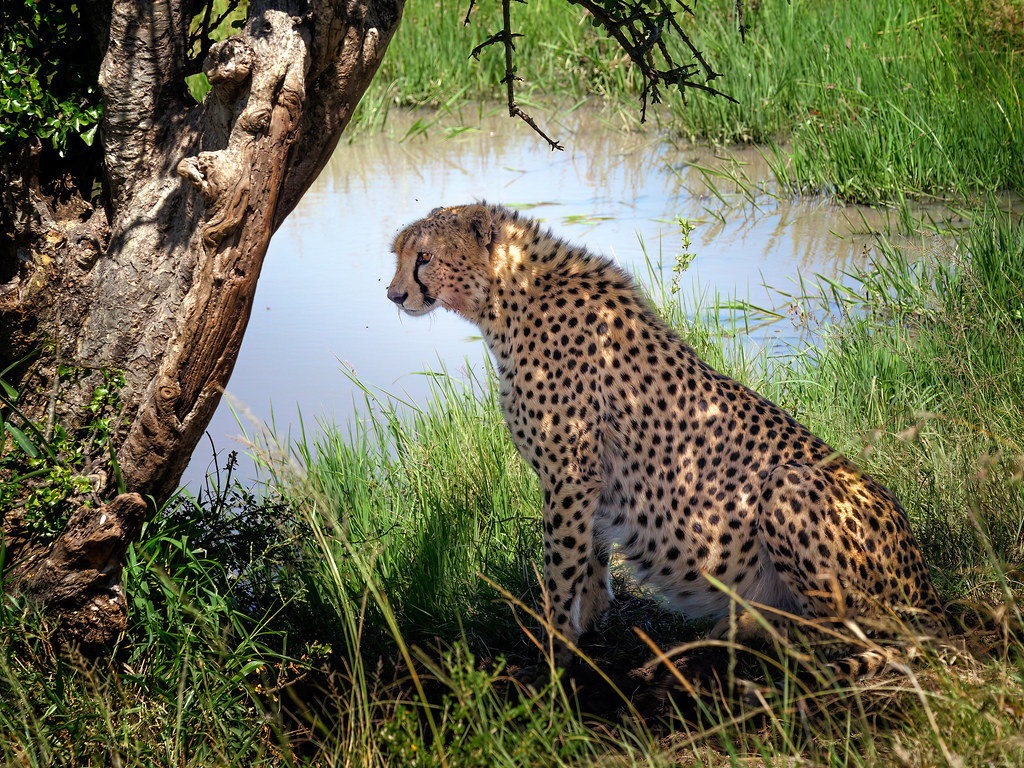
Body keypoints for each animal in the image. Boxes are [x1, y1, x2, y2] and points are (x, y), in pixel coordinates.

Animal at [387, 204, 946, 679]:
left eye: (425, 257)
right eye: (399, 254)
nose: (393, 295)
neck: (509, 297)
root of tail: (929, 589)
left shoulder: (568, 474)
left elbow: (561, 569)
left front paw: (554, 654)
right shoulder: (589, 480)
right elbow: (589, 557)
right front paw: (590, 626)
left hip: (789, 486)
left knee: (843, 635)